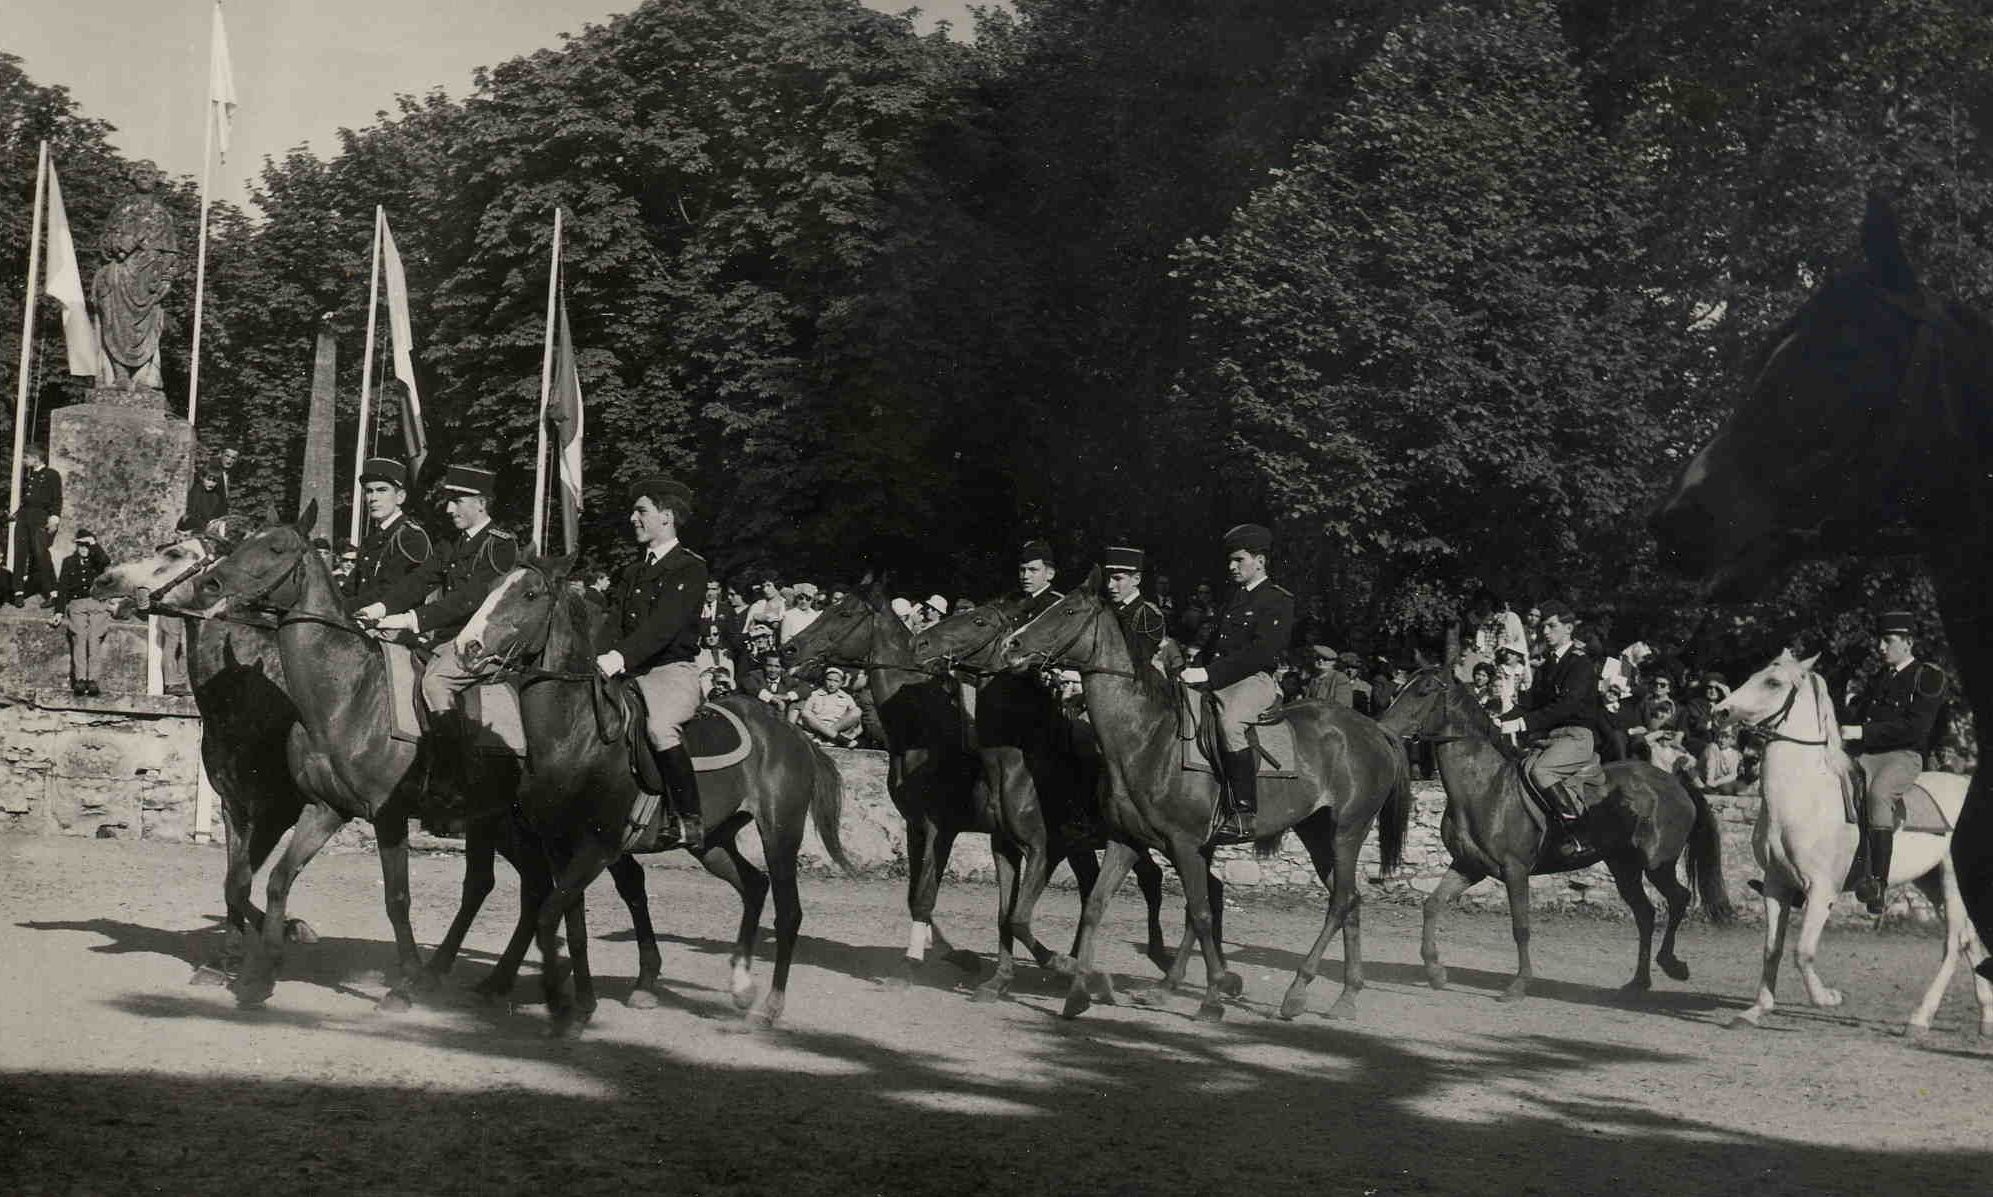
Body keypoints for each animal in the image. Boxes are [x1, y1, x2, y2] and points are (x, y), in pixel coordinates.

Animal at [458, 554, 855, 1029]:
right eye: (491, 587)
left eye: (530, 594)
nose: (466, 647)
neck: (577, 734)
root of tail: (791, 733)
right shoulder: (560, 847)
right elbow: (572, 925)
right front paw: (583, 1002)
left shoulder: (598, 848)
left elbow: (550, 915)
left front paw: (560, 1000)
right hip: (711, 842)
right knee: (754, 885)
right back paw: (740, 986)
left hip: (780, 833)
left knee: (788, 910)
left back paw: (771, 1006)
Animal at [909, 600, 1175, 1000]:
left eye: (978, 620)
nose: (920, 643)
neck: (1018, 760)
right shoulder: (1005, 847)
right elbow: (1005, 916)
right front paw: (1000, 981)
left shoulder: (1044, 850)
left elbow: (1020, 918)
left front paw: (1070, 968)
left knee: (1156, 881)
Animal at [1001, 572, 1411, 1023]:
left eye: (1068, 610)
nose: (1012, 645)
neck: (1148, 739)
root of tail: (1373, 728)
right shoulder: (1127, 841)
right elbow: (1095, 907)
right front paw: (1078, 993)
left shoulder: (1185, 845)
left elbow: (1198, 914)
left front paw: (1213, 996)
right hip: (1316, 833)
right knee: (1351, 899)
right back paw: (1346, 996)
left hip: (1346, 832)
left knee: (1339, 901)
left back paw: (1295, 991)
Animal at [1375, 667, 1732, 1001]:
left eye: (1423, 691)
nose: (1382, 728)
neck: (1484, 787)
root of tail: (1674, 782)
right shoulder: (1468, 866)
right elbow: (1432, 905)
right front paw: (1435, 972)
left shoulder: (1515, 870)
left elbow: (1520, 927)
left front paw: (1518, 985)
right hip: (1624, 867)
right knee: (1645, 914)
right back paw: (1638, 982)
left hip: (1658, 864)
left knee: (1678, 898)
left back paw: (1672, 964)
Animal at [1713, 651, 1990, 1037]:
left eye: (1773, 682)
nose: (1720, 711)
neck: (1805, 795)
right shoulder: (1775, 884)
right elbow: (1772, 948)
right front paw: (1756, 1010)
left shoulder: (1822, 890)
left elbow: (1803, 951)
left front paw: (1828, 998)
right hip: (1931, 881)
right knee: (1970, 942)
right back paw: (1986, 1020)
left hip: (1951, 881)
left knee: (1954, 943)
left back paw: (1919, 1019)